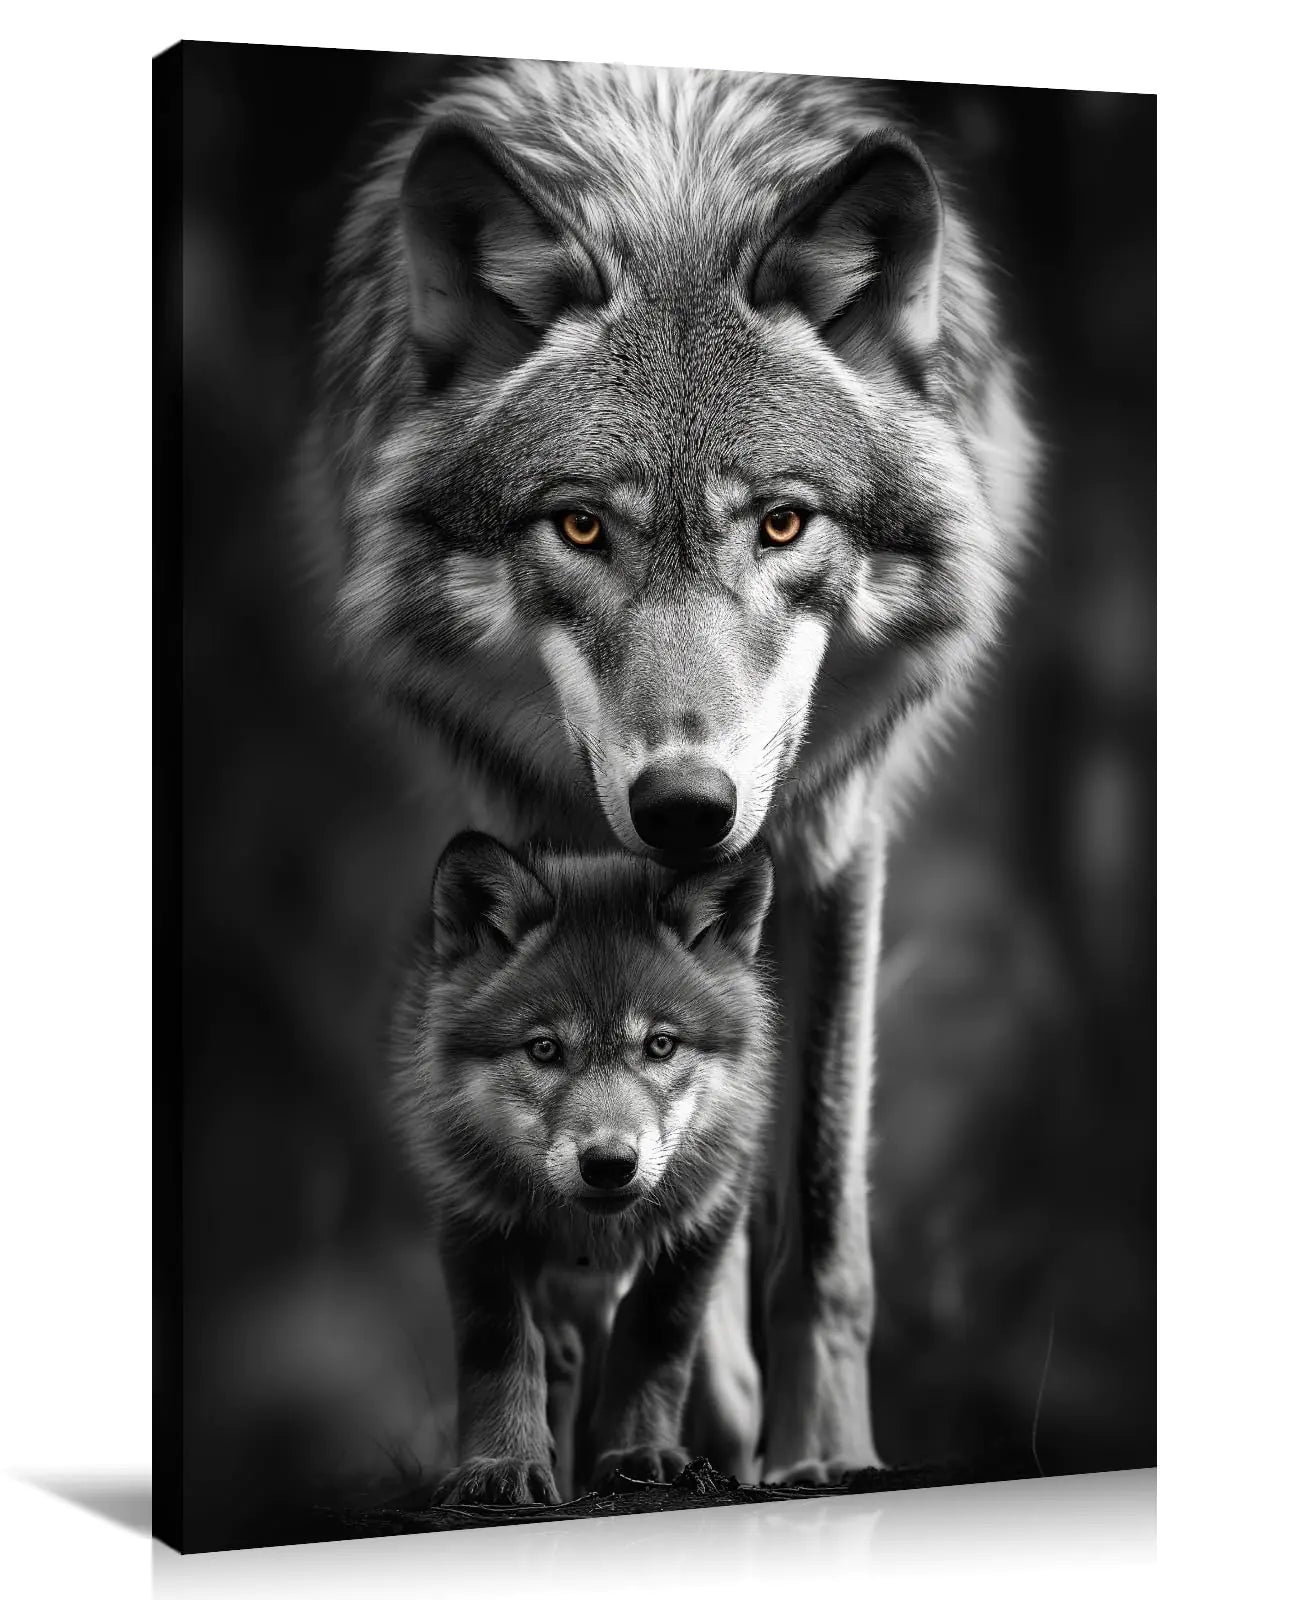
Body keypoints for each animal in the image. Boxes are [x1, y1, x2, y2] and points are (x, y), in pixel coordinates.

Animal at [391, 831, 776, 1504]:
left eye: (660, 1044)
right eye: (544, 1049)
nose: (610, 1164)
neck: (592, 1236)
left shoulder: (702, 1223)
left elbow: (653, 1341)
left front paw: (639, 1453)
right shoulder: (474, 1219)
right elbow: (501, 1350)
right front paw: (502, 1463)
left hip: (725, 1371)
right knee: (561, 1356)